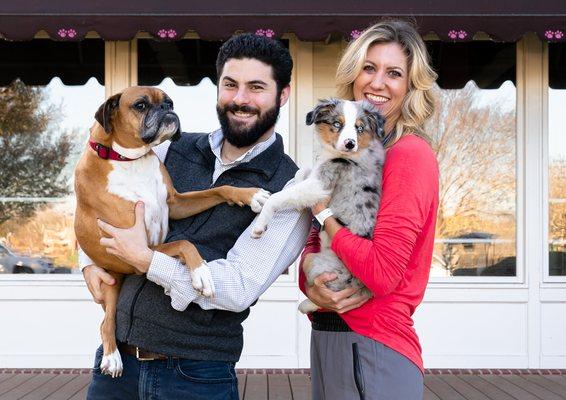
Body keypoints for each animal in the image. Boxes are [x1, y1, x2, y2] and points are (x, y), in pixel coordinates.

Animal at [75, 86, 270, 378]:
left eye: (169, 101)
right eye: (141, 105)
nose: (167, 110)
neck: (128, 159)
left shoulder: (175, 204)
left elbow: (219, 190)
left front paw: (249, 195)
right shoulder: (135, 246)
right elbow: (184, 244)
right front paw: (202, 274)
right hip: (111, 283)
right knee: (106, 323)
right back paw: (112, 358)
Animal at [253, 98, 386, 314]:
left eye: (359, 128)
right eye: (337, 124)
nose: (350, 144)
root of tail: (364, 289)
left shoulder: (321, 185)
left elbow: (280, 197)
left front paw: (260, 225)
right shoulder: (317, 174)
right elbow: (304, 170)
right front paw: (295, 180)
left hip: (317, 263)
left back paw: (306, 305)